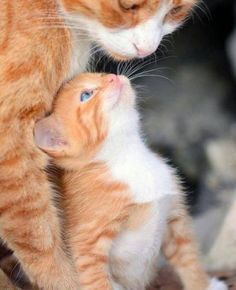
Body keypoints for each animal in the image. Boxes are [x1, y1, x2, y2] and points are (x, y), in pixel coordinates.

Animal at [34, 73, 228, 290]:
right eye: (86, 95)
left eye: (101, 74)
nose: (112, 77)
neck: (129, 155)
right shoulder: (87, 246)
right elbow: (98, 282)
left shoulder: (175, 220)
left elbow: (189, 259)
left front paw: (203, 284)